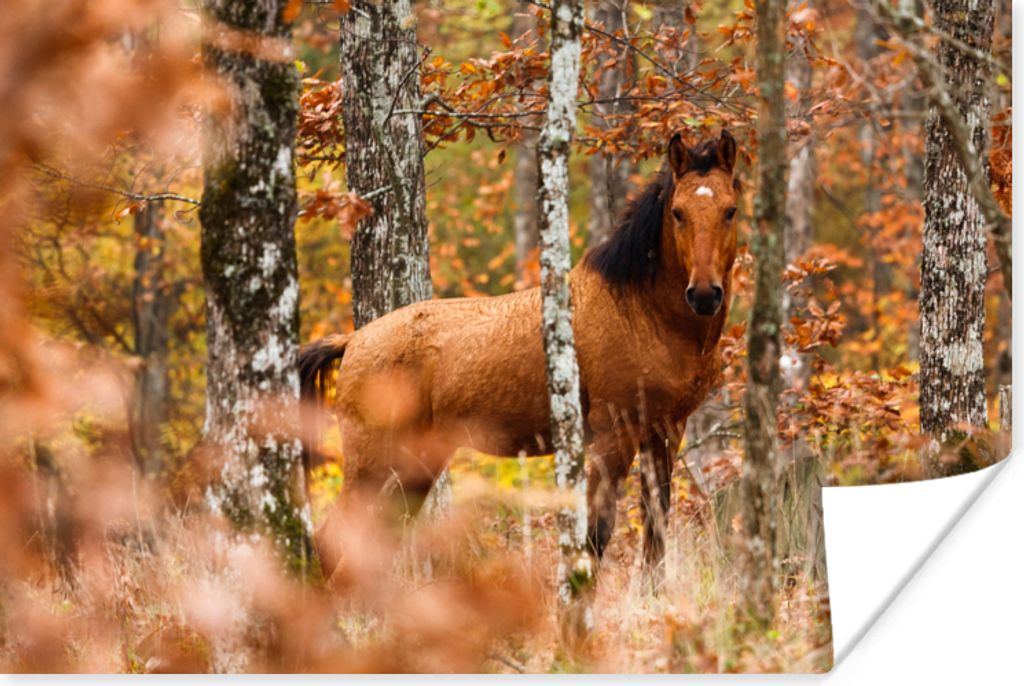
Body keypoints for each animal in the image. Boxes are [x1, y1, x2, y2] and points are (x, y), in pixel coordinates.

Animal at [300, 129, 740, 579]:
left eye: (730, 210)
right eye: (678, 213)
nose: (704, 294)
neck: (639, 311)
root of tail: (353, 341)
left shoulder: (665, 430)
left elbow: (656, 535)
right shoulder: (614, 434)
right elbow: (595, 535)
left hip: (416, 464)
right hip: (371, 464)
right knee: (332, 542)